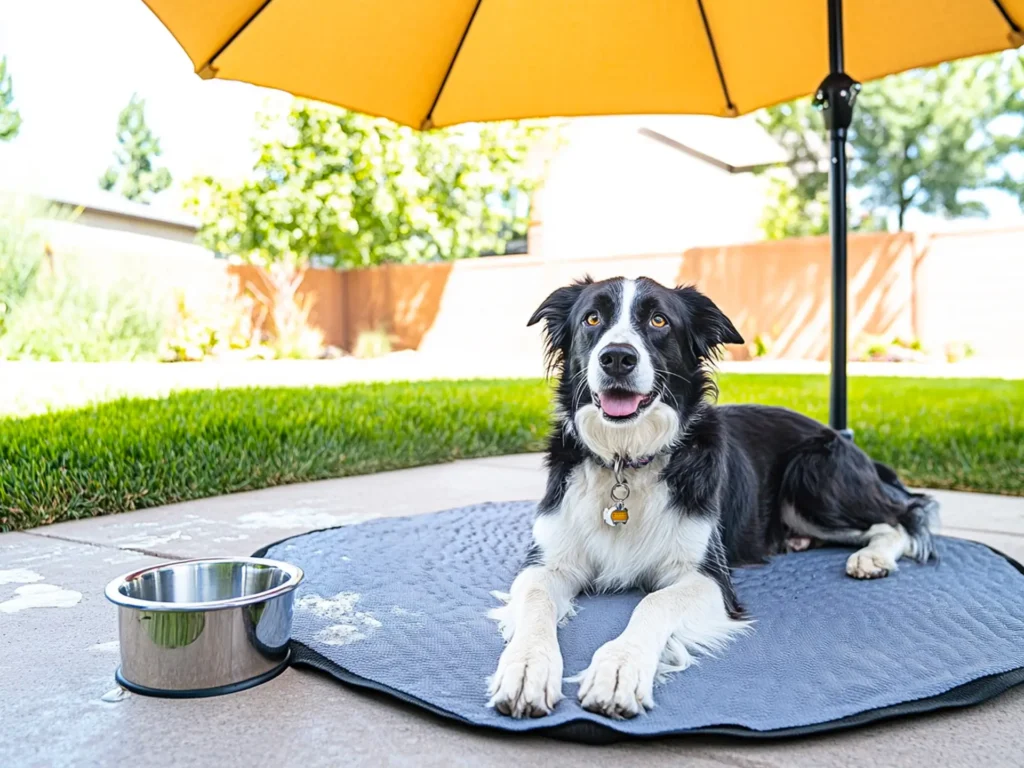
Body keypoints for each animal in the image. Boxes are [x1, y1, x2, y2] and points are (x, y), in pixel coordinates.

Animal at [485, 276, 937, 720]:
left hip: (812, 475)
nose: (616, 358)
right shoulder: (547, 563)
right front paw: (527, 668)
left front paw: (618, 669)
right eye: (592, 319)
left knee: (902, 515)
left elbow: (653, 603)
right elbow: (537, 601)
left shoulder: (708, 577)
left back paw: (871, 558)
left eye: (659, 321)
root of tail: (845, 441)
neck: (625, 459)